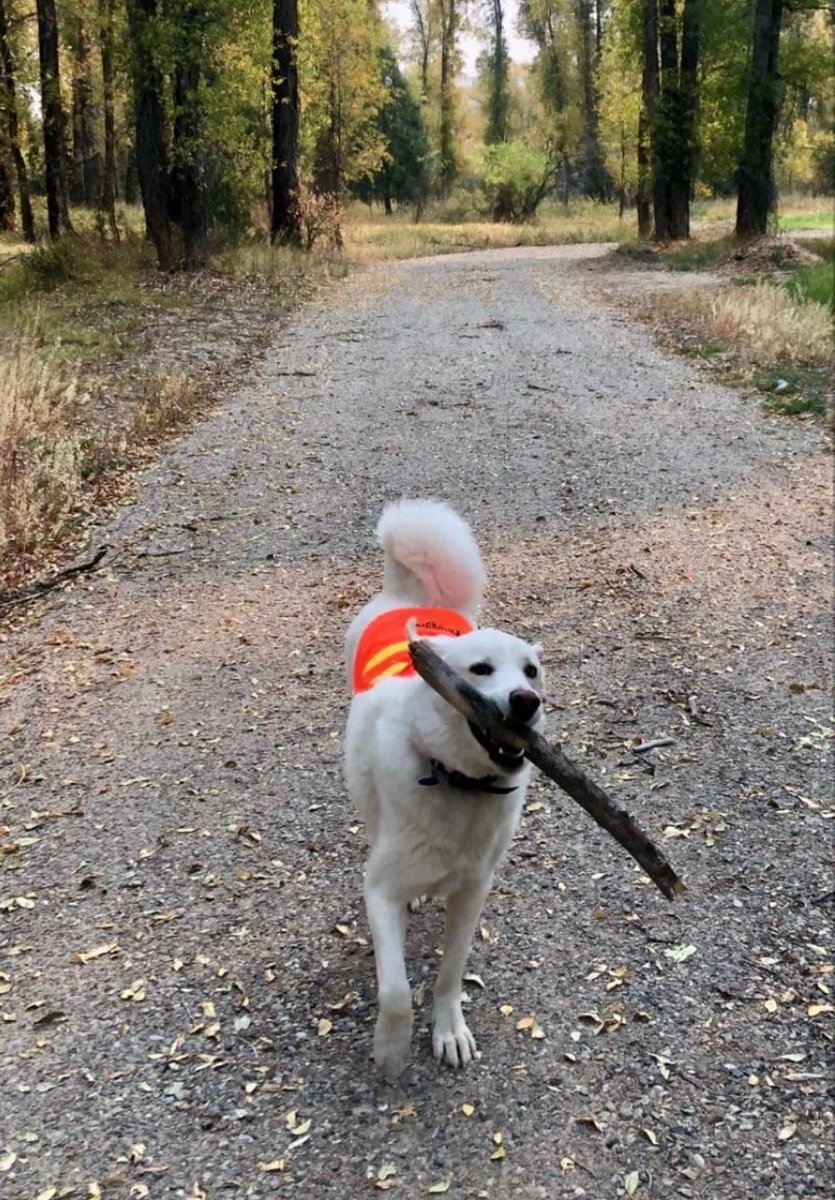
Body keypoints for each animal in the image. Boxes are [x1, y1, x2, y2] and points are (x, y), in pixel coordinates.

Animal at [343, 496, 544, 1080]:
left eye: (532, 671)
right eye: (479, 670)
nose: (526, 701)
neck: (459, 783)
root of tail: (414, 595)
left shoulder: (473, 890)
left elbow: (450, 973)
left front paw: (449, 1031)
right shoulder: (380, 892)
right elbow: (394, 990)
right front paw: (391, 1049)